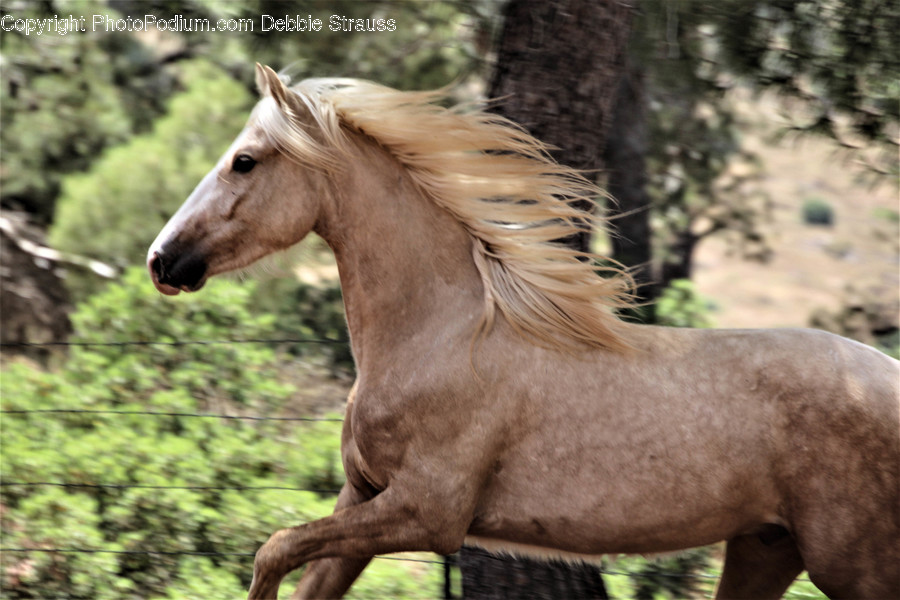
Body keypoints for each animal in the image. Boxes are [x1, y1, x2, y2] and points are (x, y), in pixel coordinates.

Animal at [148, 64, 900, 599]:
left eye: (245, 160)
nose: (162, 260)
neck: (439, 337)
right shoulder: (362, 500)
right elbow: (289, 560)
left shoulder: (428, 512)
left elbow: (271, 548)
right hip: (765, 547)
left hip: (851, 563)